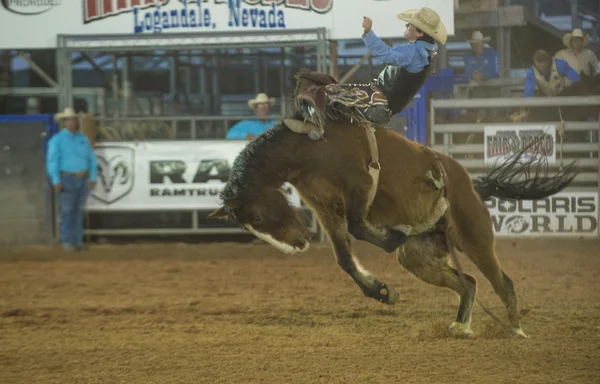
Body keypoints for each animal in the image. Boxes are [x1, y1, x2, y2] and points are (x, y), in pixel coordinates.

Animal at [209, 69, 580, 340]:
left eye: (258, 216)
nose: (296, 247)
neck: (310, 147)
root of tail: (470, 184)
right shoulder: (325, 208)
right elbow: (344, 257)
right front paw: (381, 291)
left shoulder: (360, 183)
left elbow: (359, 227)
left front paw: (393, 236)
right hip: (419, 256)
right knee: (469, 283)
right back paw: (461, 326)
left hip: (474, 236)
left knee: (502, 282)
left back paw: (516, 331)